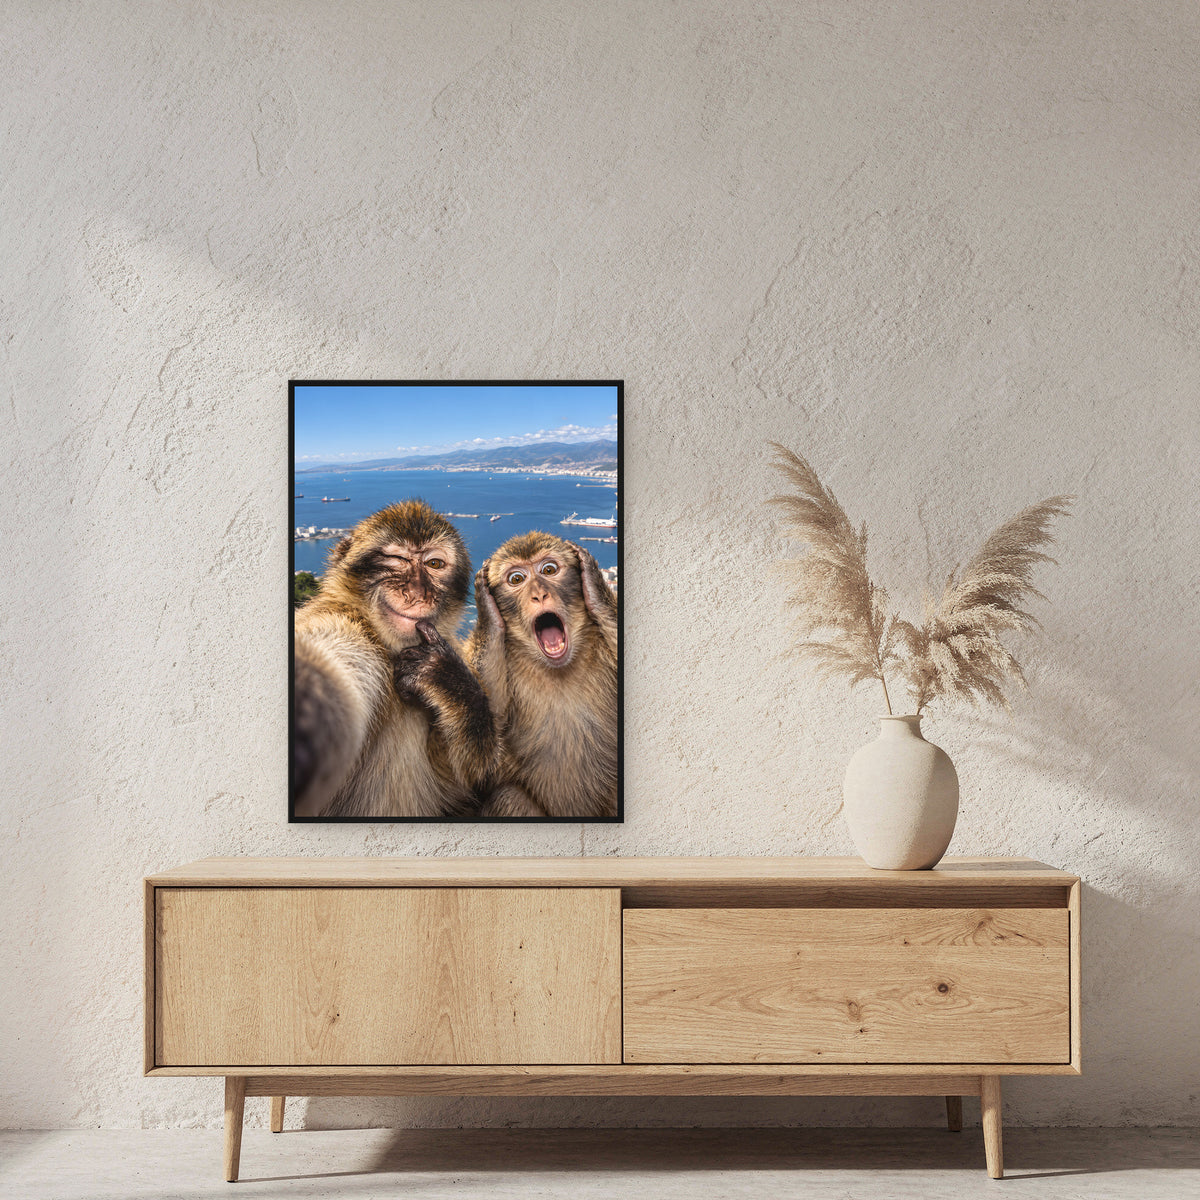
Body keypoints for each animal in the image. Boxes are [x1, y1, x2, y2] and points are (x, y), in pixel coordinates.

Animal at [292, 500, 496, 818]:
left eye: (434, 564)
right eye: (397, 559)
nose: (417, 593)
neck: (388, 647)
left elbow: (462, 783)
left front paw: (445, 678)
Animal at [466, 532, 618, 818]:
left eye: (549, 570)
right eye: (516, 579)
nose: (539, 595)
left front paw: (594, 583)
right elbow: (481, 752)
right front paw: (487, 611)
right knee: (508, 798)